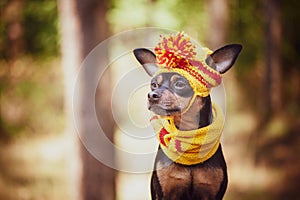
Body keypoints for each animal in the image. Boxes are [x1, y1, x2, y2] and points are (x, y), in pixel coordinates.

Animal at [134, 32, 241, 199]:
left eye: (179, 84)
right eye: (154, 85)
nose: (152, 95)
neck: (188, 130)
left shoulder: (212, 192)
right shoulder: (165, 192)